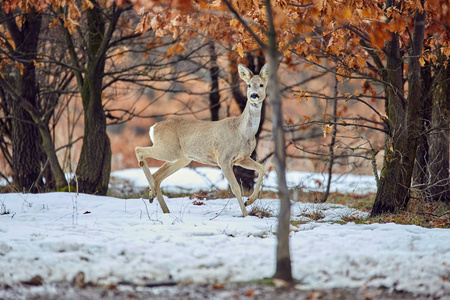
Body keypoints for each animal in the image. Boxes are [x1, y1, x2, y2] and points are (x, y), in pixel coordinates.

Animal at [134, 64, 268, 217]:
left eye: (261, 84)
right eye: (249, 85)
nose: (254, 95)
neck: (242, 131)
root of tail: (153, 128)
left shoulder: (242, 158)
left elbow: (262, 168)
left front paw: (250, 201)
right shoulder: (224, 158)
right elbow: (236, 188)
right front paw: (245, 214)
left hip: (181, 158)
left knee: (157, 176)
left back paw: (160, 205)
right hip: (168, 149)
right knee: (139, 150)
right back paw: (153, 195)